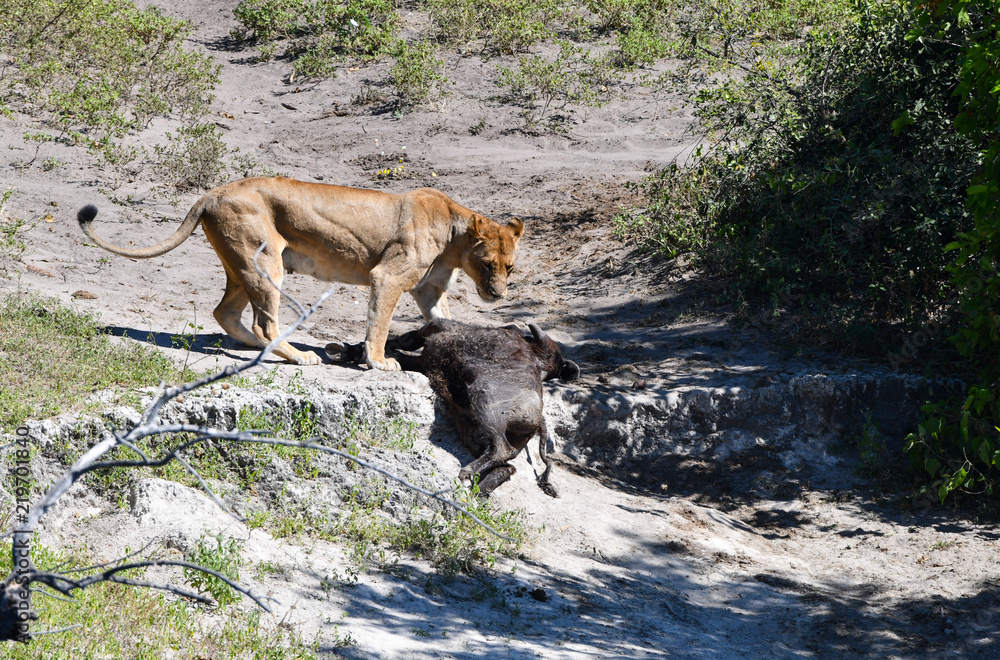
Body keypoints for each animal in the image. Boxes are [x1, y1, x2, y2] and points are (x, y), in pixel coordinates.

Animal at [77, 176, 524, 369]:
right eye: (488, 264)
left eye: (510, 267)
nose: (499, 295)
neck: (454, 240)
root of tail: (212, 193)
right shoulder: (388, 276)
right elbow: (379, 323)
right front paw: (379, 362)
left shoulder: (430, 290)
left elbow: (445, 321)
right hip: (264, 260)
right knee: (264, 322)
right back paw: (298, 356)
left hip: (243, 265)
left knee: (227, 313)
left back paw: (263, 349)